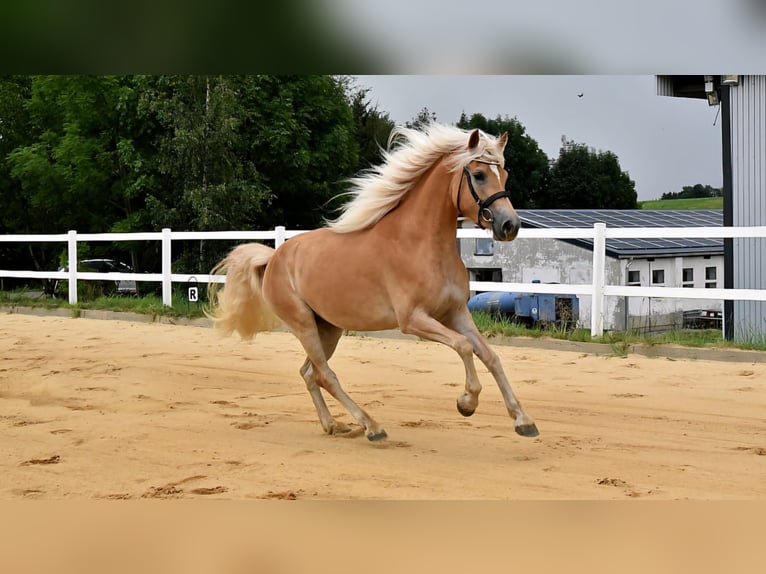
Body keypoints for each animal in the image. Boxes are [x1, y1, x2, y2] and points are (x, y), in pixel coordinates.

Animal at [206, 124, 540, 444]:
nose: (510, 226)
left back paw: (334, 425)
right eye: (480, 175)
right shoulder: (413, 320)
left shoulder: (455, 312)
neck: (422, 245)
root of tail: (274, 257)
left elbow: (490, 356)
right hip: (303, 325)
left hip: (328, 327)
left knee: (309, 373)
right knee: (325, 375)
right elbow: (464, 346)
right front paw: (466, 402)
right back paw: (371, 426)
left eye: (504, 174)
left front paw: (524, 421)